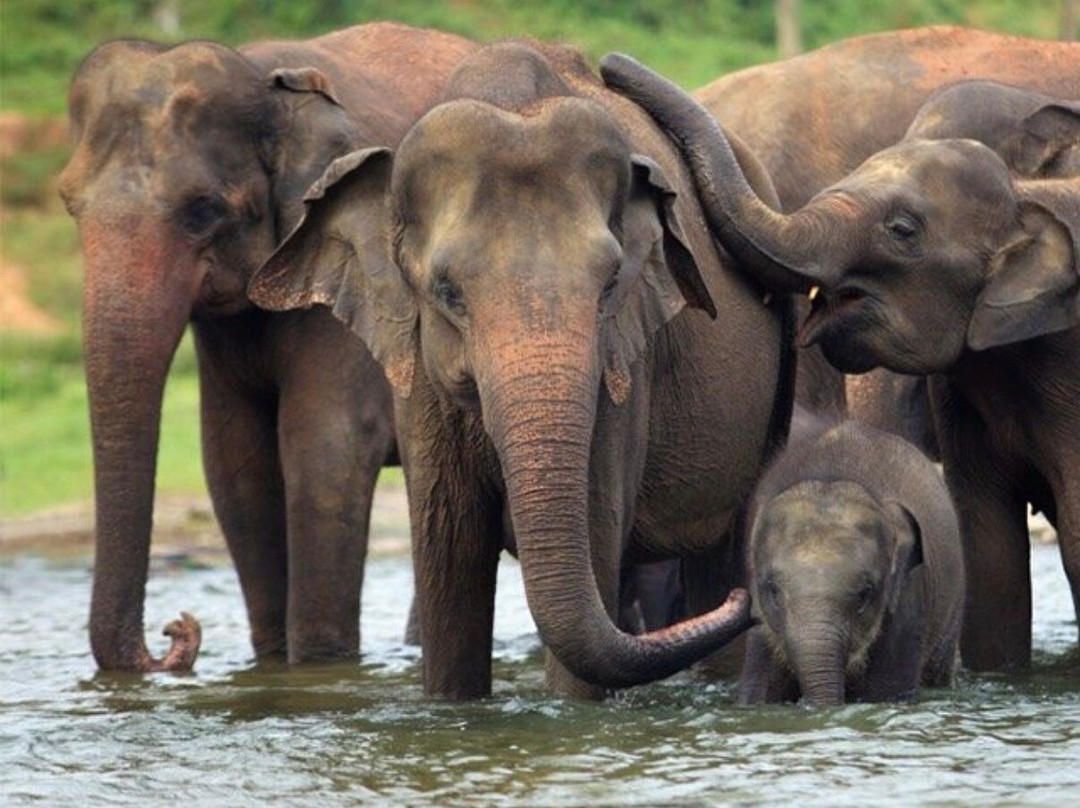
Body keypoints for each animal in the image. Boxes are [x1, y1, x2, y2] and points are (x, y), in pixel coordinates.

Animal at [58, 22, 478, 672]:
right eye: (69, 204)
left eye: (202, 212)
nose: (178, 631)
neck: (265, 79)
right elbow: (234, 461)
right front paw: (272, 666)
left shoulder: (346, 259)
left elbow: (324, 446)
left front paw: (321, 667)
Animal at [248, 40, 794, 699]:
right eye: (447, 292)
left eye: (611, 283)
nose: (746, 601)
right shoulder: (419, 378)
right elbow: (450, 555)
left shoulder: (624, 371)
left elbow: (592, 543)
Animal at [739, 420, 963, 706]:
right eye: (773, 591)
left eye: (865, 594)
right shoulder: (761, 624)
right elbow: (758, 689)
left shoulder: (909, 601)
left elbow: (888, 689)